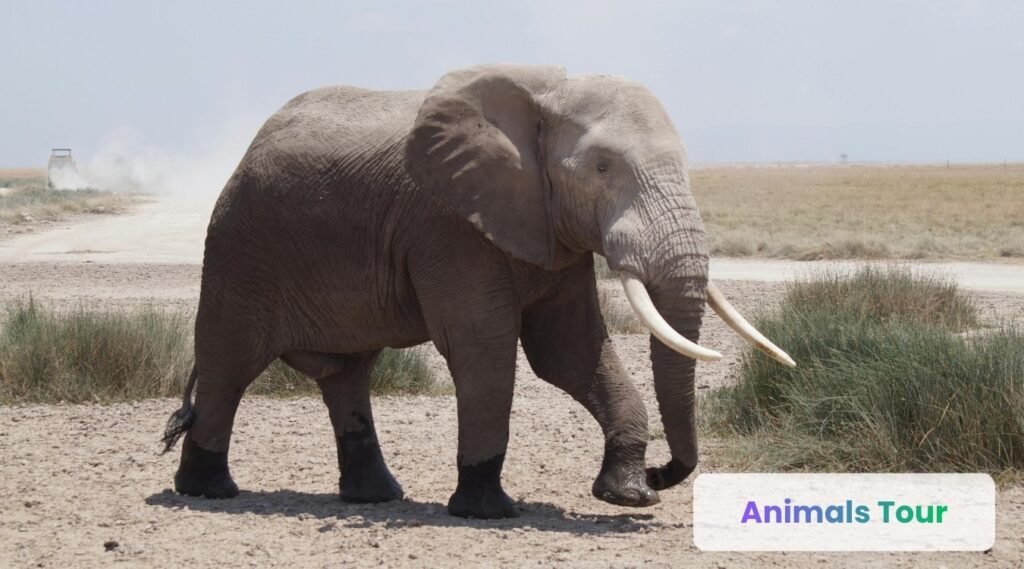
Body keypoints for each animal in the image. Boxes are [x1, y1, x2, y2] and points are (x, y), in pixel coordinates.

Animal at [162, 64, 794, 519]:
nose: (665, 472)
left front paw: (628, 496)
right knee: (229, 365)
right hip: (240, 249)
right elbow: (483, 344)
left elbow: (569, 350)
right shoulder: (449, 226)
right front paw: (488, 510)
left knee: (348, 374)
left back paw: (376, 497)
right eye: (602, 167)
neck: (547, 94)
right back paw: (207, 492)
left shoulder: (550, 232)